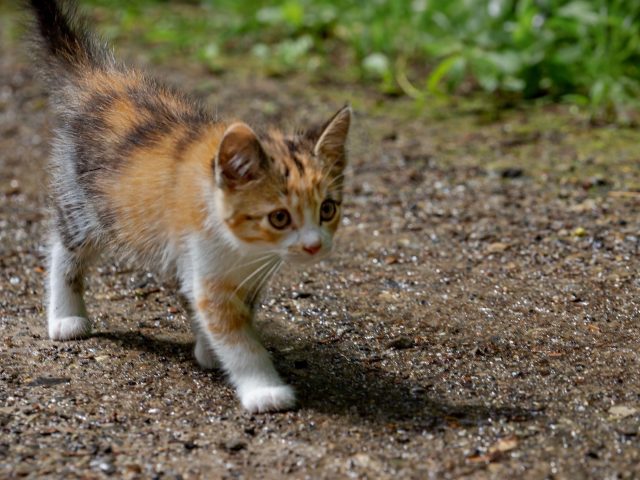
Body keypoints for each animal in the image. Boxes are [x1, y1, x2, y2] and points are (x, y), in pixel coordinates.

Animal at [28, 0, 350, 412]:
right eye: (280, 218)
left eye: (327, 209)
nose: (314, 246)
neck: (245, 247)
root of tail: (100, 79)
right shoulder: (205, 259)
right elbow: (235, 334)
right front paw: (263, 389)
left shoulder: (232, 271)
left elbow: (219, 307)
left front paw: (209, 349)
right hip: (87, 202)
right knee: (65, 247)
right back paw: (65, 316)